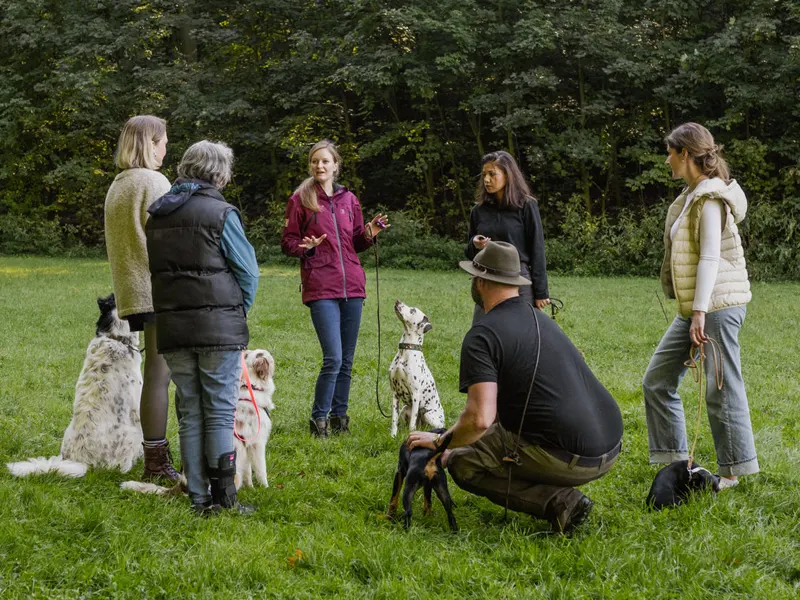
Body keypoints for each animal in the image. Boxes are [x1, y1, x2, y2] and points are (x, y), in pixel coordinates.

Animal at [390, 300, 446, 436]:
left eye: (413, 310)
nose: (397, 301)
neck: (406, 351)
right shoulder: (395, 393)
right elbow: (393, 420)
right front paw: (392, 436)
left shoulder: (415, 394)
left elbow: (412, 424)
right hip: (404, 409)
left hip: (429, 415)